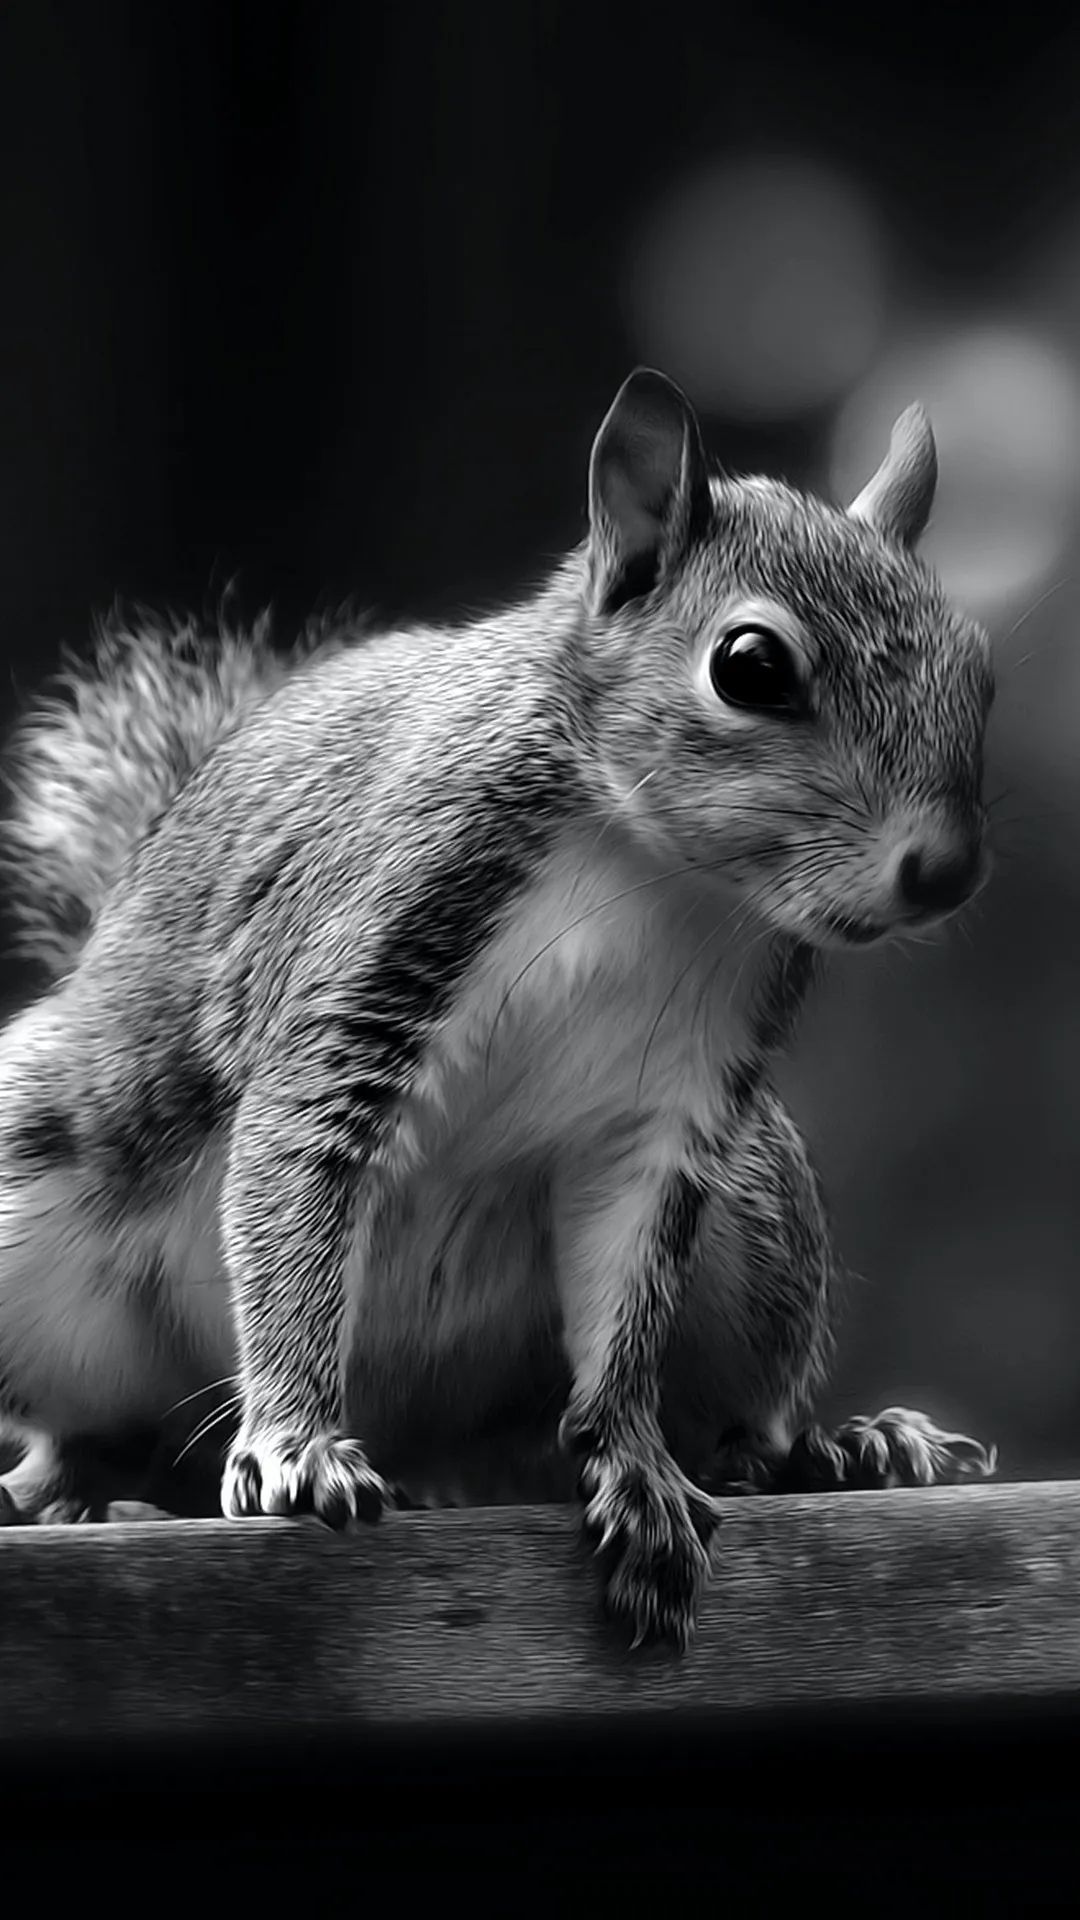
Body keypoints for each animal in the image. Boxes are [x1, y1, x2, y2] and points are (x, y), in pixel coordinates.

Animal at [0, 368, 997, 1648]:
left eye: (977, 666)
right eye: (751, 666)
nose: (947, 869)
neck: (650, 869)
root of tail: (432, 1450)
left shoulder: (673, 1109)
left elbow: (625, 1306)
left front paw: (635, 1464)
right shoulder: (379, 941)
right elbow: (299, 1169)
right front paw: (295, 1444)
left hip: (757, 1209)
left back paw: (830, 1452)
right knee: (83, 1433)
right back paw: (80, 1491)